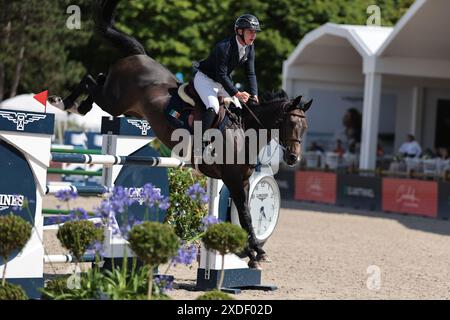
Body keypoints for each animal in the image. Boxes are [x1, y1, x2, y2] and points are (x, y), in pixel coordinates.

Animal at [47, 0, 312, 270]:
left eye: (304, 127)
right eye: (290, 123)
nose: (293, 158)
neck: (244, 132)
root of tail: (140, 55)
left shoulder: (244, 181)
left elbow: (245, 214)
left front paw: (253, 252)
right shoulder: (233, 180)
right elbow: (246, 216)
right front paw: (255, 253)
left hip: (119, 103)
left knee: (98, 78)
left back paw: (78, 105)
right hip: (114, 101)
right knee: (90, 79)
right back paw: (66, 103)